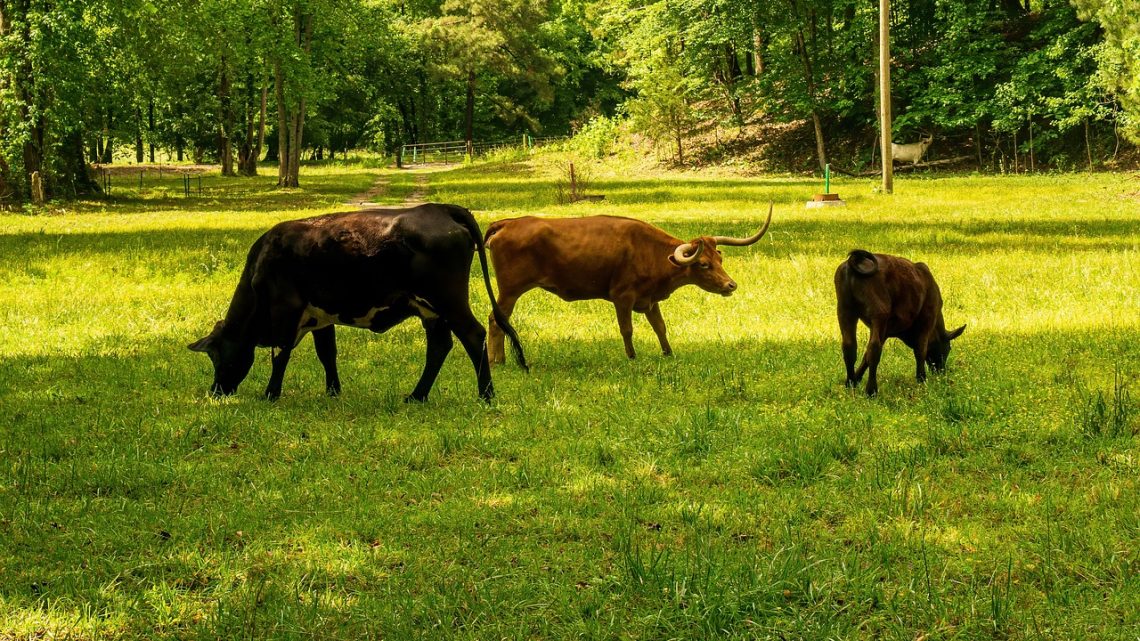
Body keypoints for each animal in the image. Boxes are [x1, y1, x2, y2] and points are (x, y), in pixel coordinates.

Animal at [186, 201, 524, 399]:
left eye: (216, 355)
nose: (216, 391)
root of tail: (439, 208)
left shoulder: (287, 308)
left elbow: (280, 354)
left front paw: (270, 393)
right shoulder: (320, 315)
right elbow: (327, 354)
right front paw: (333, 392)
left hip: (448, 300)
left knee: (473, 335)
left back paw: (486, 395)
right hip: (430, 310)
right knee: (439, 347)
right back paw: (417, 395)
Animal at [483, 203, 775, 360]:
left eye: (720, 259)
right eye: (703, 264)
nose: (730, 285)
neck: (650, 251)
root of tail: (508, 223)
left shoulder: (650, 300)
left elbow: (660, 327)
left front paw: (668, 353)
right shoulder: (622, 297)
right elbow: (627, 329)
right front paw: (632, 356)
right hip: (509, 291)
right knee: (495, 320)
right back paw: (497, 360)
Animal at [834, 248, 966, 394]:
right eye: (948, 348)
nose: (941, 371)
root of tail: (856, 260)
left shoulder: (885, 331)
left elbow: (865, 357)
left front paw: (856, 379)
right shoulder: (927, 320)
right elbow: (920, 351)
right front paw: (922, 379)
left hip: (845, 310)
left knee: (849, 346)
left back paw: (850, 383)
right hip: (878, 312)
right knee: (874, 348)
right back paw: (871, 390)